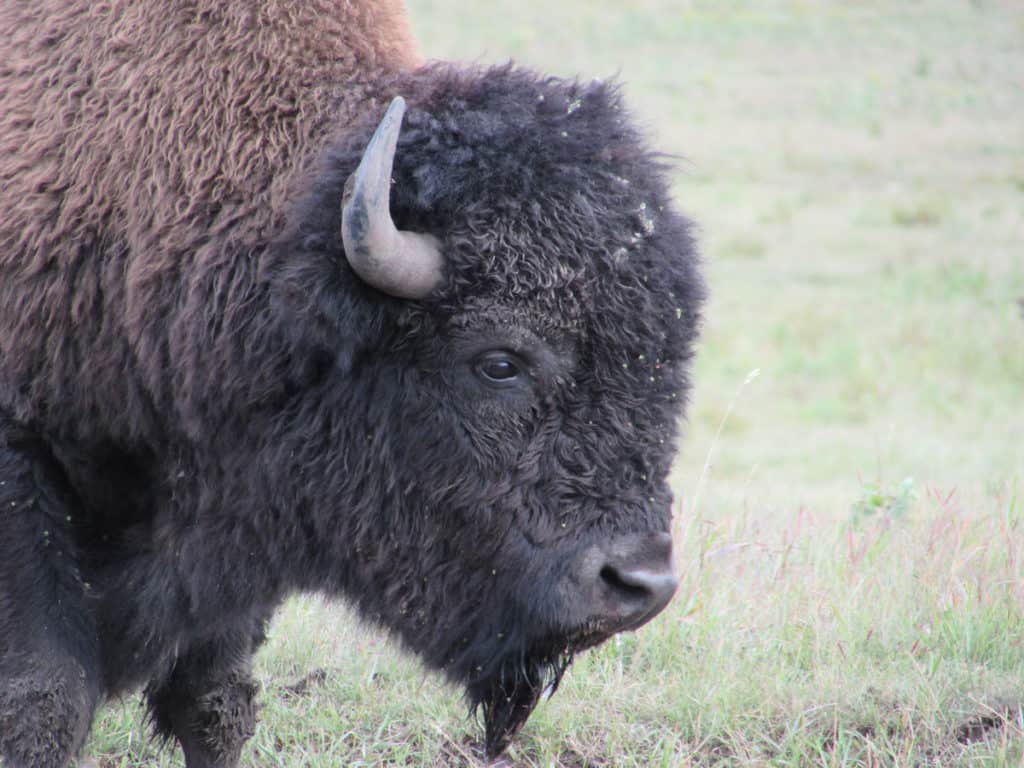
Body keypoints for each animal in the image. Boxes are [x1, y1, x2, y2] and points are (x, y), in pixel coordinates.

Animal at [0, 1, 704, 768]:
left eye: (670, 358)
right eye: (499, 362)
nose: (641, 583)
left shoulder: (249, 506)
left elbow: (212, 702)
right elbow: (47, 699)